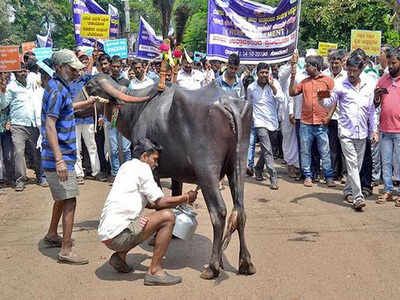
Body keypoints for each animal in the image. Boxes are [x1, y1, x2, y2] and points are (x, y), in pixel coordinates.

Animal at [74, 73, 256, 278]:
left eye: (90, 86)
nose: (74, 106)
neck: (138, 110)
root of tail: (227, 102)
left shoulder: (153, 171)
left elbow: (159, 204)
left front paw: (155, 237)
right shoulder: (178, 173)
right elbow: (175, 197)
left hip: (207, 171)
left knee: (219, 212)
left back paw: (213, 267)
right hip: (238, 165)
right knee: (240, 211)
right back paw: (245, 263)